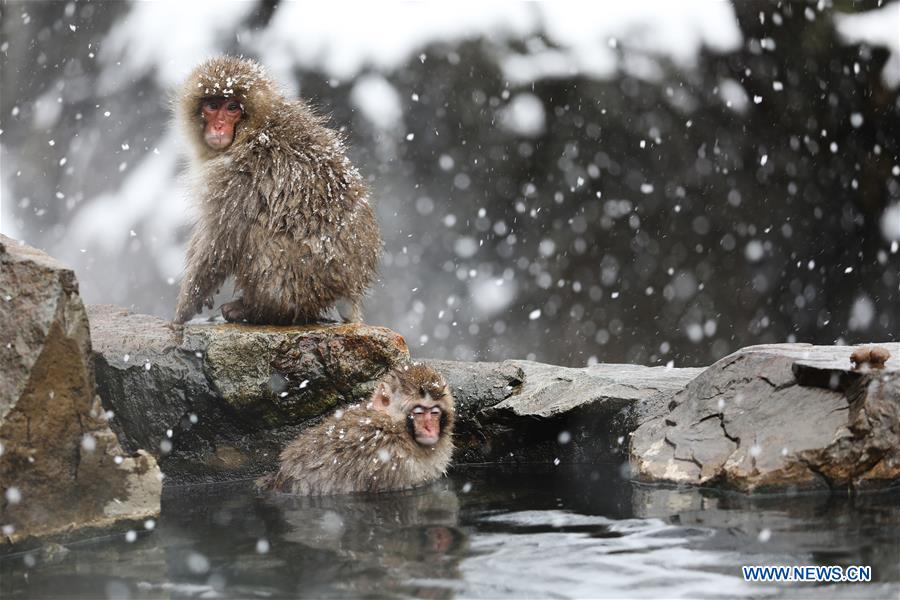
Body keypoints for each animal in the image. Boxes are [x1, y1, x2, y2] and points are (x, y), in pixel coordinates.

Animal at [172, 56, 381, 325]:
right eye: (212, 105)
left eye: (232, 107)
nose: (218, 126)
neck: (251, 130)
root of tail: (350, 287)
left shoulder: (238, 175)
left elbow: (221, 239)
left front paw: (184, 308)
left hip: (303, 278)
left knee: (257, 232)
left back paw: (261, 310)